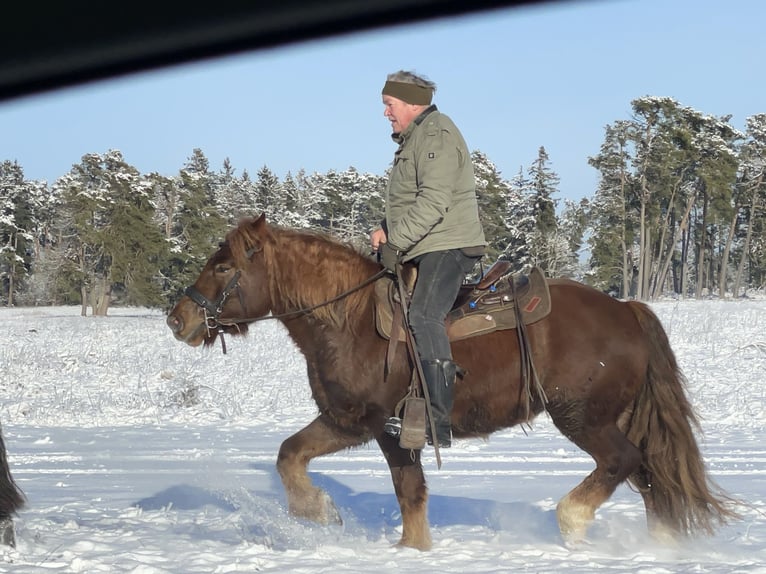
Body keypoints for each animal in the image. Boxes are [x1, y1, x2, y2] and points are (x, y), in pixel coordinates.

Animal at [166, 215, 736, 552]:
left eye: (224, 266)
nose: (178, 318)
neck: (349, 320)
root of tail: (627, 309)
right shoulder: (371, 428)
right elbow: (369, 480)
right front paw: (362, 529)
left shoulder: (374, 426)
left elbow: (370, 481)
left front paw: (339, 520)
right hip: (618, 417)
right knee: (651, 478)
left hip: (584, 418)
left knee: (623, 463)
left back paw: (573, 521)